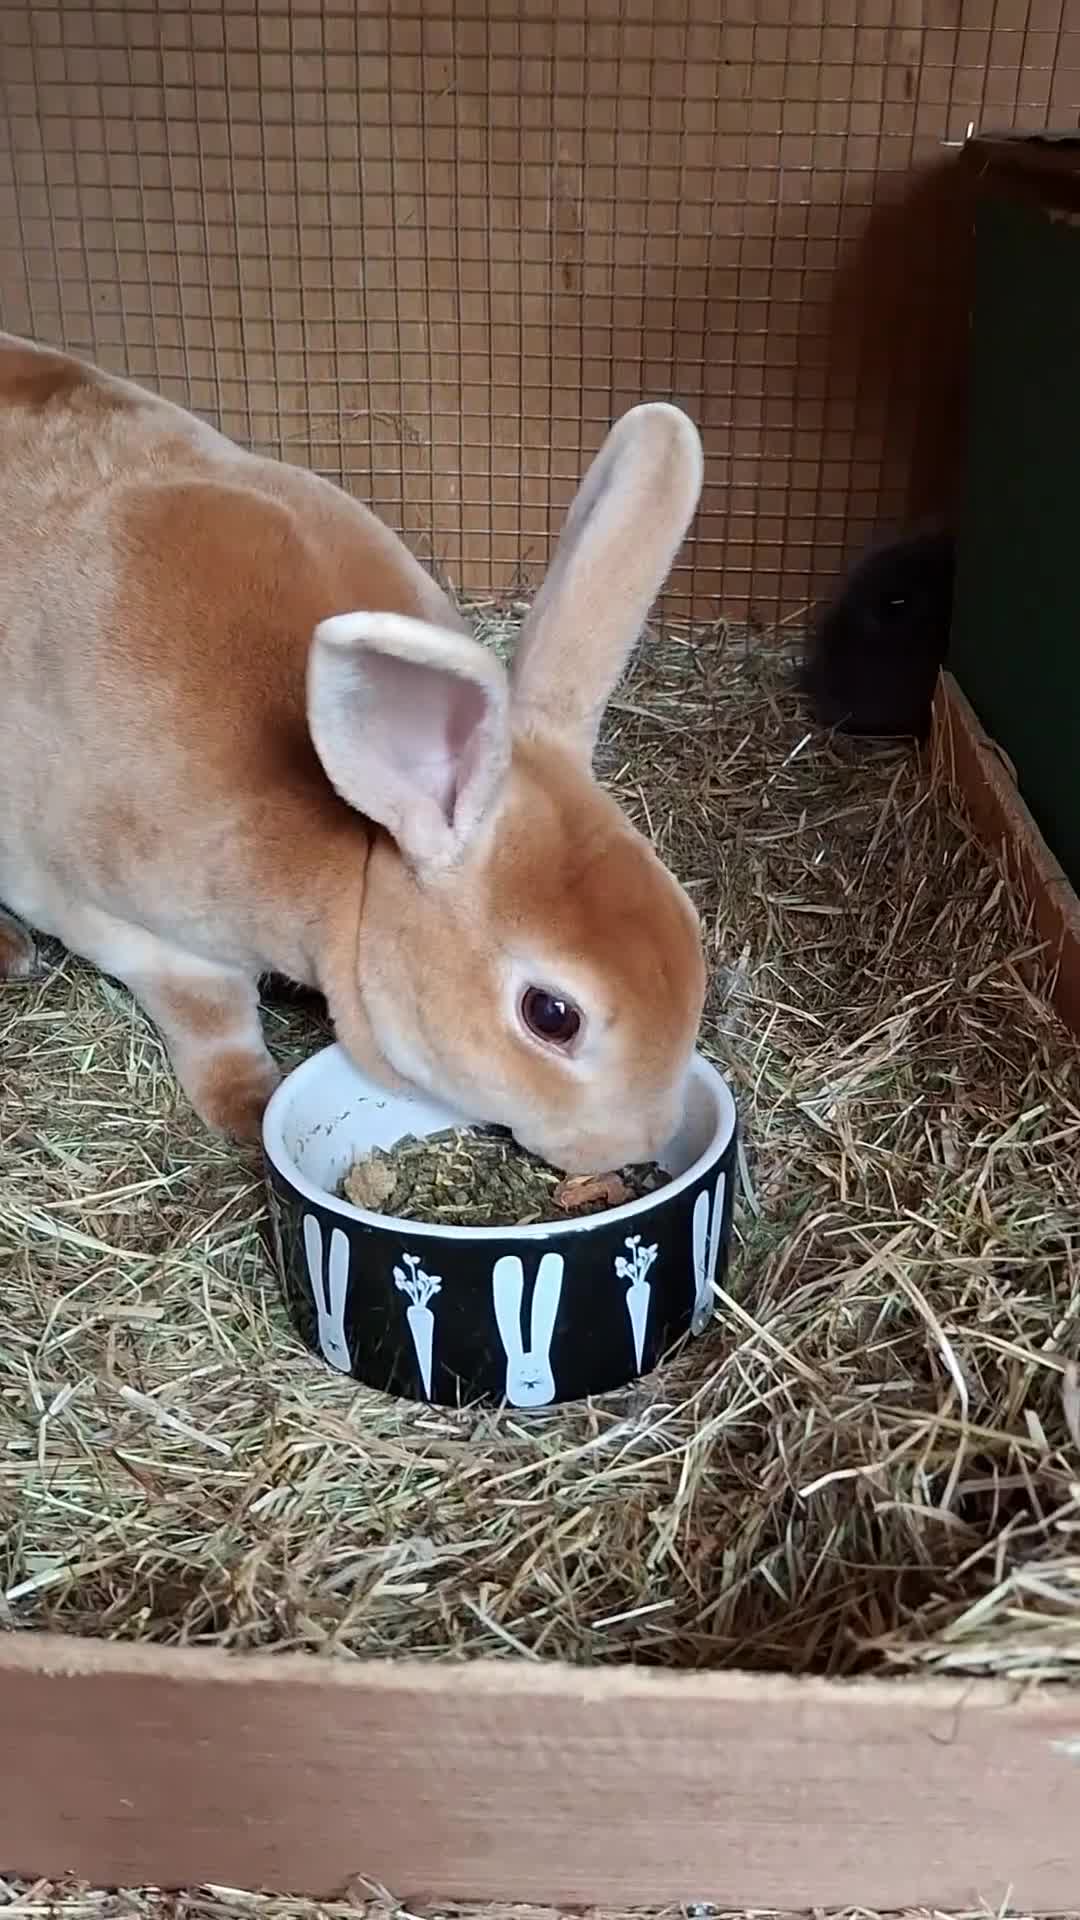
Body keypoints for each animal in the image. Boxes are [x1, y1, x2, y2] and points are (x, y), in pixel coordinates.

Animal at [0, 333, 707, 1175]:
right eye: (552, 1015)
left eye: (691, 923)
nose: (641, 1142)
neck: (356, 863)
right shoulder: (143, 936)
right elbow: (214, 1020)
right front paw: (251, 1107)